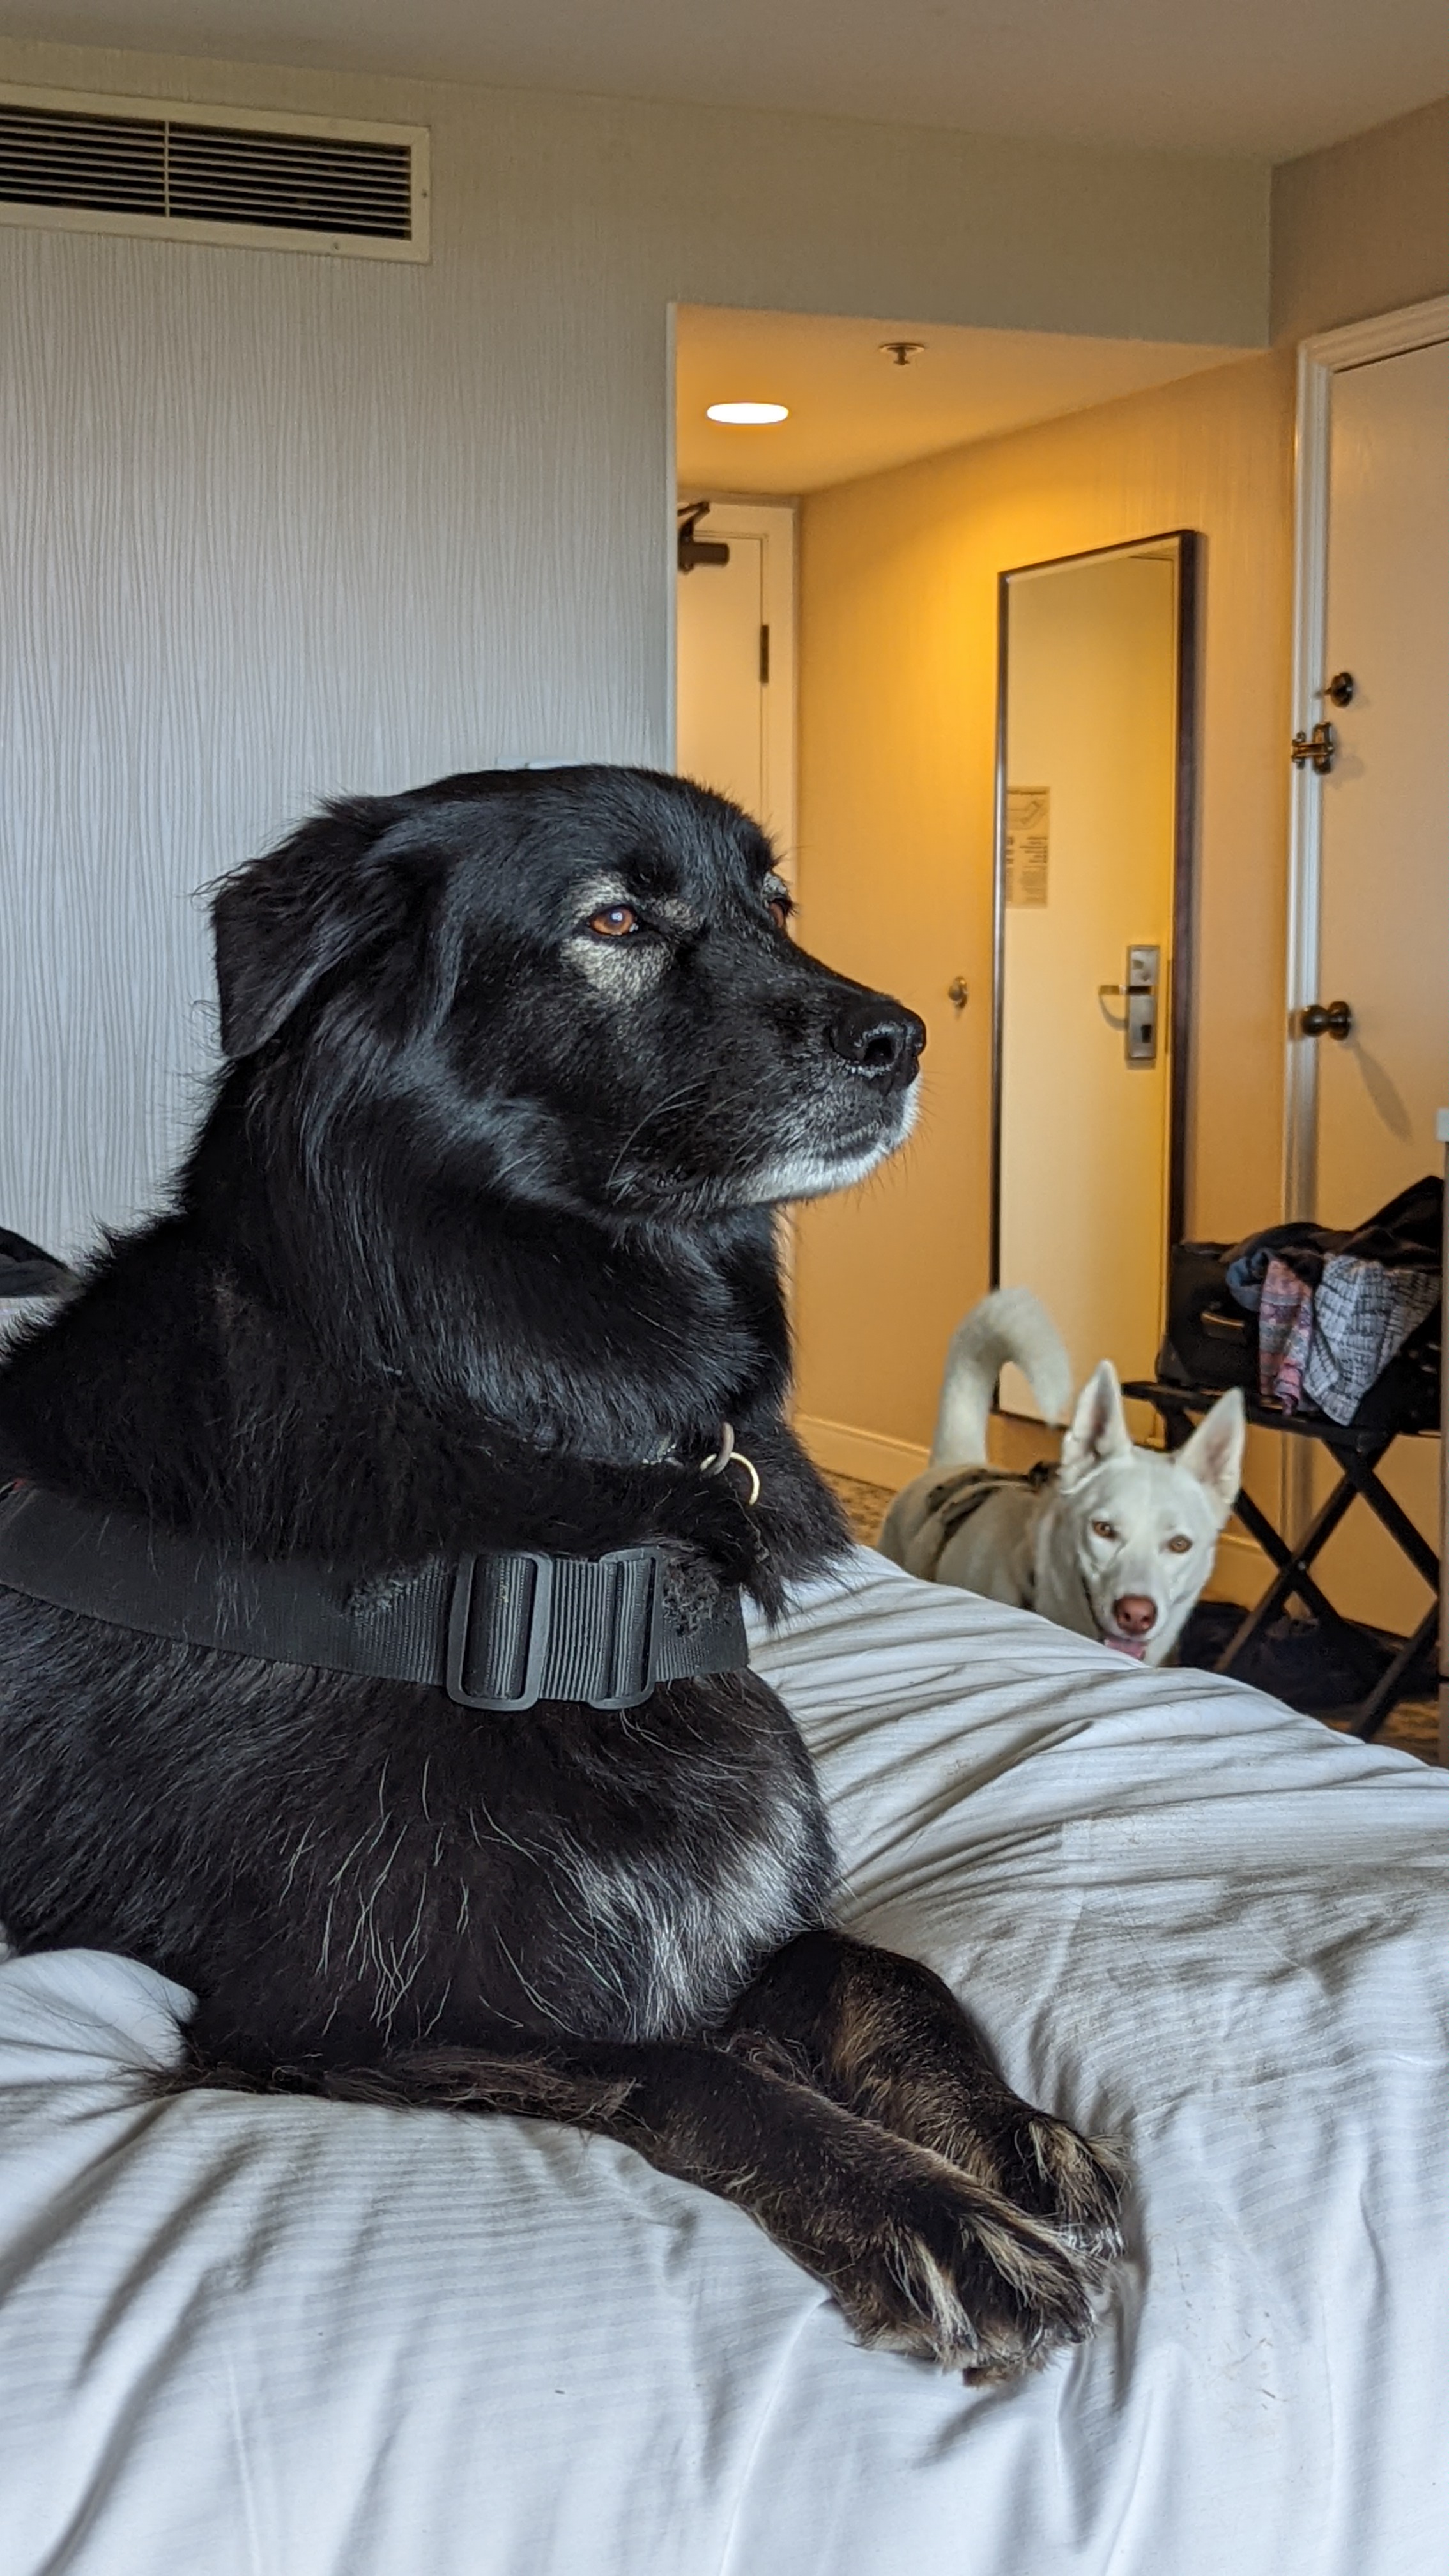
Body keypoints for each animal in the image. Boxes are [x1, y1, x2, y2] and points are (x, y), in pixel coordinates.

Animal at [0, 767, 1121, 2381]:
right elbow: (683, 2070)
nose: (904, 1038)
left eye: (776, 905)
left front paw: (1009, 2133)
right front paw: (924, 2212)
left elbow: (883, 1970)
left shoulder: (738, 1918)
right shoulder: (336, 2019)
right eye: (615, 923)